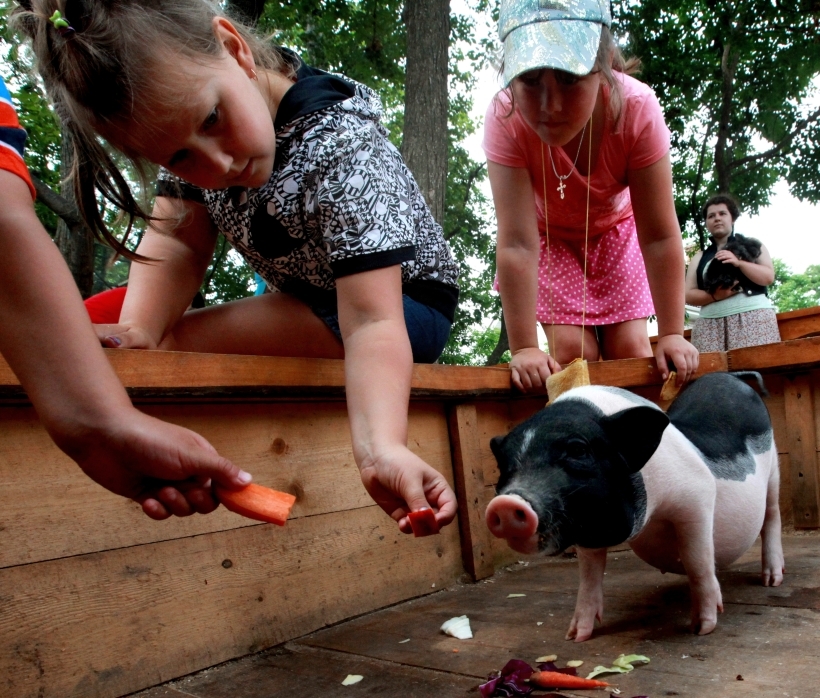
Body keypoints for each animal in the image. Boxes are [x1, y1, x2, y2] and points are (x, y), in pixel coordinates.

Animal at [484, 372, 784, 640]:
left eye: (578, 450)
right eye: (503, 464)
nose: (506, 503)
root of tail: (733, 377)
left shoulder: (697, 494)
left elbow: (696, 560)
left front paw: (701, 628)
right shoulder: (587, 528)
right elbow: (589, 577)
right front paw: (576, 636)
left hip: (773, 469)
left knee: (772, 516)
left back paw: (772, 580)